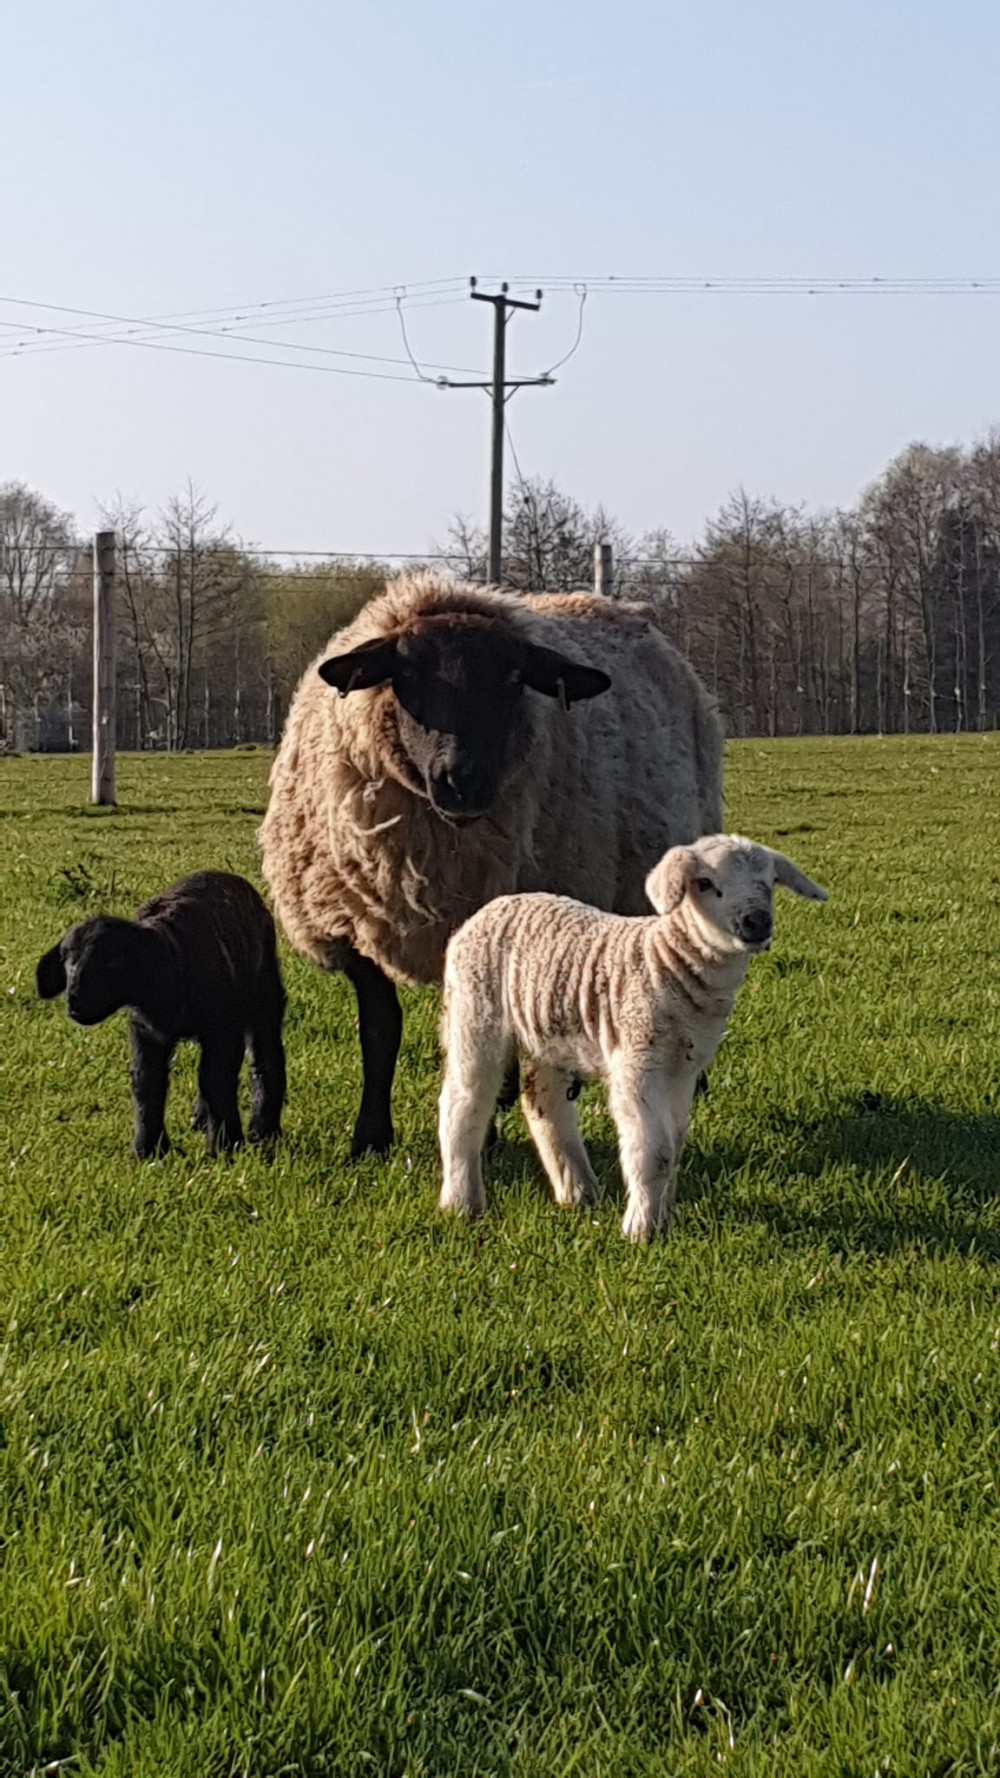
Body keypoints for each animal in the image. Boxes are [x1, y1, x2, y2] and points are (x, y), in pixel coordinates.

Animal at [35, 871, 284, 1152]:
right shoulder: (146, 1032)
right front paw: (149, 1149)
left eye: (113, 963)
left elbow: (216, 1080)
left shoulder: (223, 1028)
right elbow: (146, 1082)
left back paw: (264, 1130)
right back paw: (202, 1117)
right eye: (66, 961)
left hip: (264, 994)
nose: (73, 1001)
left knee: (264, 1057)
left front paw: (225, 1145)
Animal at [437, 828, 825, 1237]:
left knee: (544, 1101)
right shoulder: (638, 1060)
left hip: (548, 1031)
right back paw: (462, 1202)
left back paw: (577, 1191)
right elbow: (654, 1152)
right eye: (704, 883)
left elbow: (675, 1144)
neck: (665, 963)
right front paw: (641, 1229)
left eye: (771, 882)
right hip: (474, 1012)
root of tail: (493, 906)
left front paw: (663, 1217)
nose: (757, 922)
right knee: (463, 1100)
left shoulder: (683, 1069)